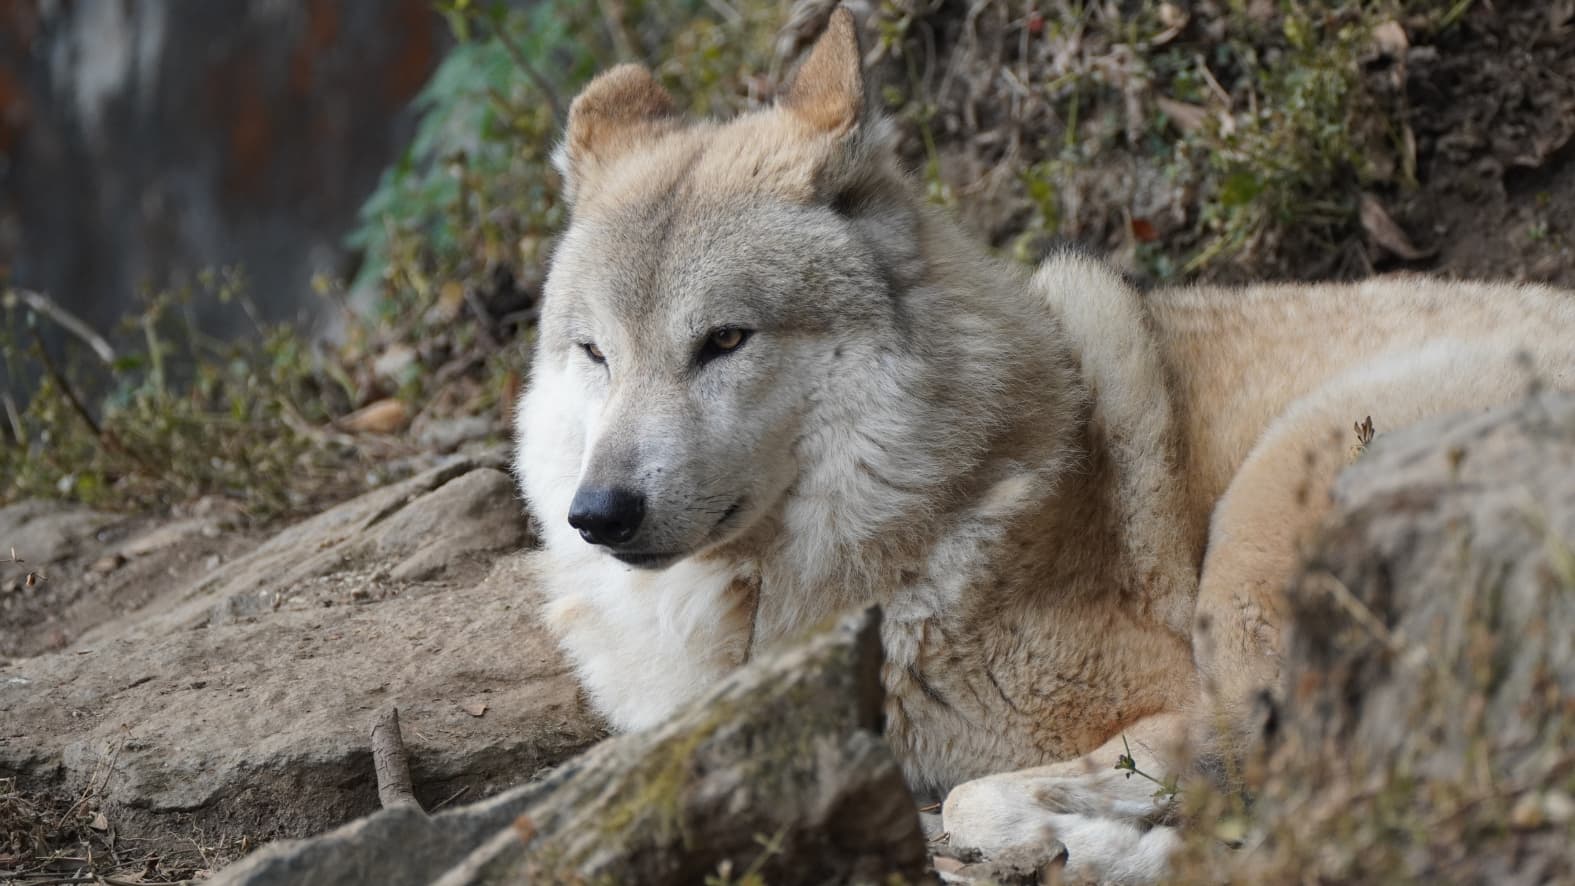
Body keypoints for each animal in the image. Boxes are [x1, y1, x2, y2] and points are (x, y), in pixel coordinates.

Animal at [513, 8, 1575, 881]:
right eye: (595, 352)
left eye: (725, 340)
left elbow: (993, 793)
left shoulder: (1161, 692)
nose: (599, 514)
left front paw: (1057, 837)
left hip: (1266, 518)